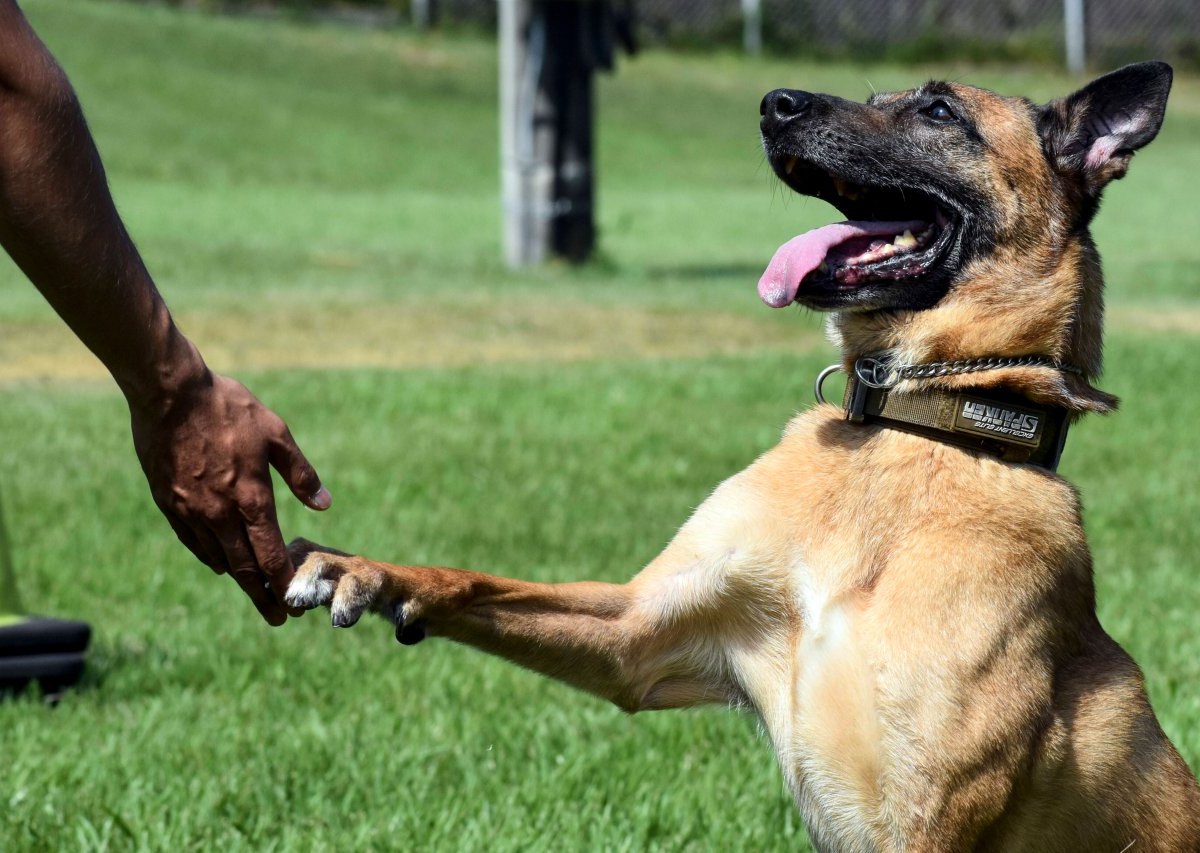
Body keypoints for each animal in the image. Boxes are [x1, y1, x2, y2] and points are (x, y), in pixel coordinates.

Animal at [285, 63, 1195, 849]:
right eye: (878, 97)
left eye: (939, 111)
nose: (774, 103)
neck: (915, 429)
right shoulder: (640, 632)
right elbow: (474, 581)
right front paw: (363, 569)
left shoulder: (926, 816)